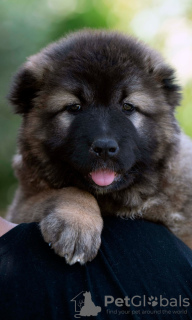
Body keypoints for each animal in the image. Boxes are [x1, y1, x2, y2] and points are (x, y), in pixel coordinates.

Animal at [6, 30, 192, 264]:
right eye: (74, 107)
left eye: (128, 107)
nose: (104, 147)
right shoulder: (22, 204)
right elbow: (70, 191)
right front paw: (77, 224)